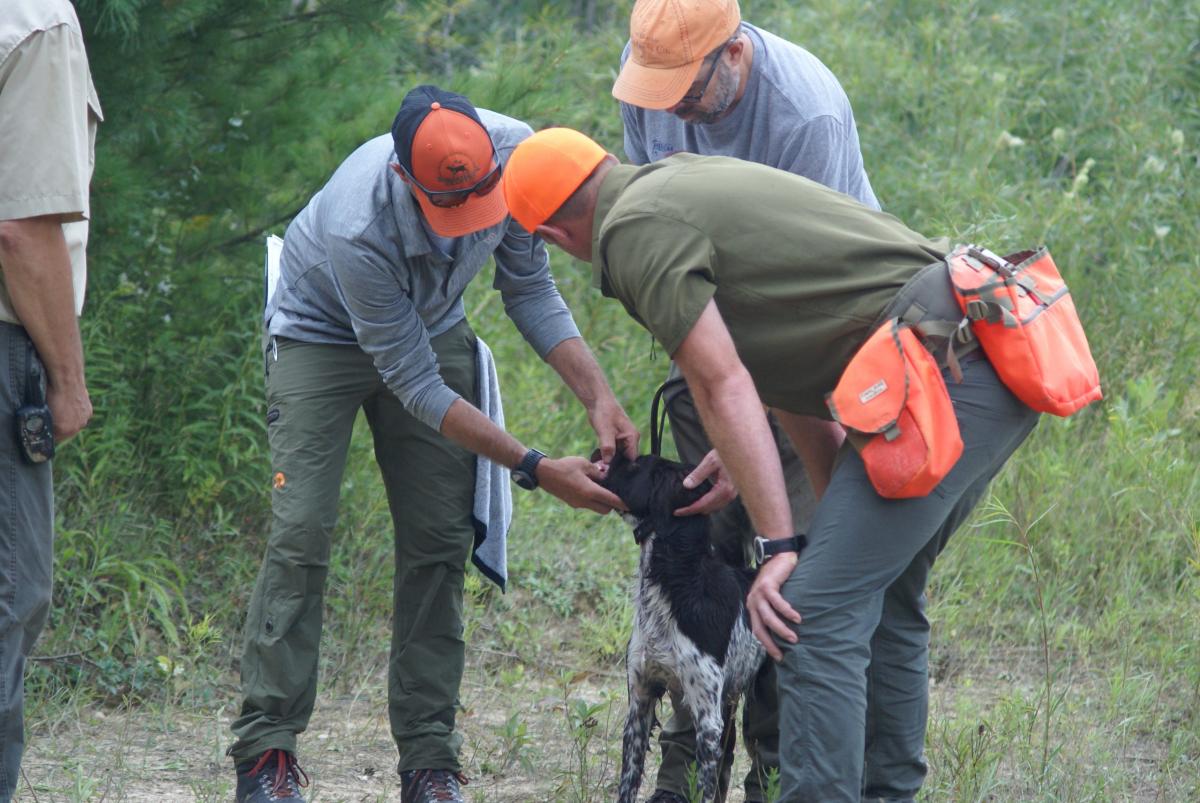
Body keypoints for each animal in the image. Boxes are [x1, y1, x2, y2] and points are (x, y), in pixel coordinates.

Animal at [599, 452, 766, 803]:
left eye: (635, 465)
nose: (604, 452)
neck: (677, 582)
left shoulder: (707, 718)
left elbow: (705, 787)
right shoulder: (640, 700)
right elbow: (628, 780)